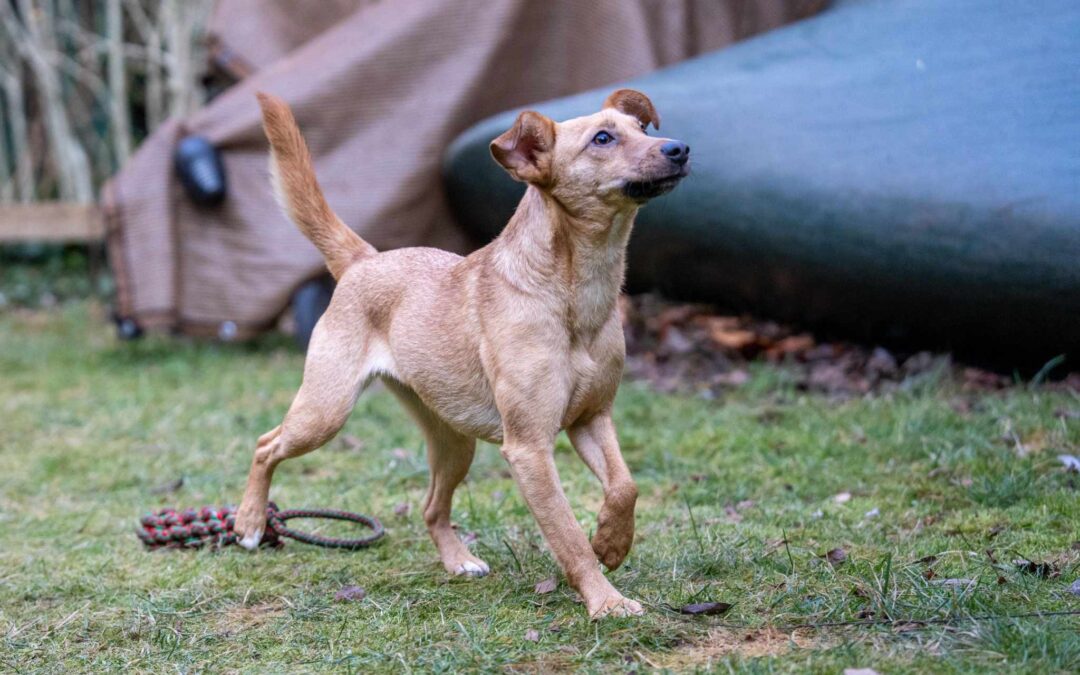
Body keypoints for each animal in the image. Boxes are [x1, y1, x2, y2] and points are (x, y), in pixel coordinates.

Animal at [237, 90, 691, 622]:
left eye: (641, 127)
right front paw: (605, 600)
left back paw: (458, 561)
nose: (680, 148)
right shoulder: (530, 449)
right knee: (266, 445)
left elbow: (624, 487)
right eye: (602, 138)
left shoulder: (591, 418)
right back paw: (249, 522)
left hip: (456, 444)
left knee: (432, 508)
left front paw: (612, 543)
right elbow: (567, 535)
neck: (573, 295)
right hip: (324, 412)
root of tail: (365, 259)